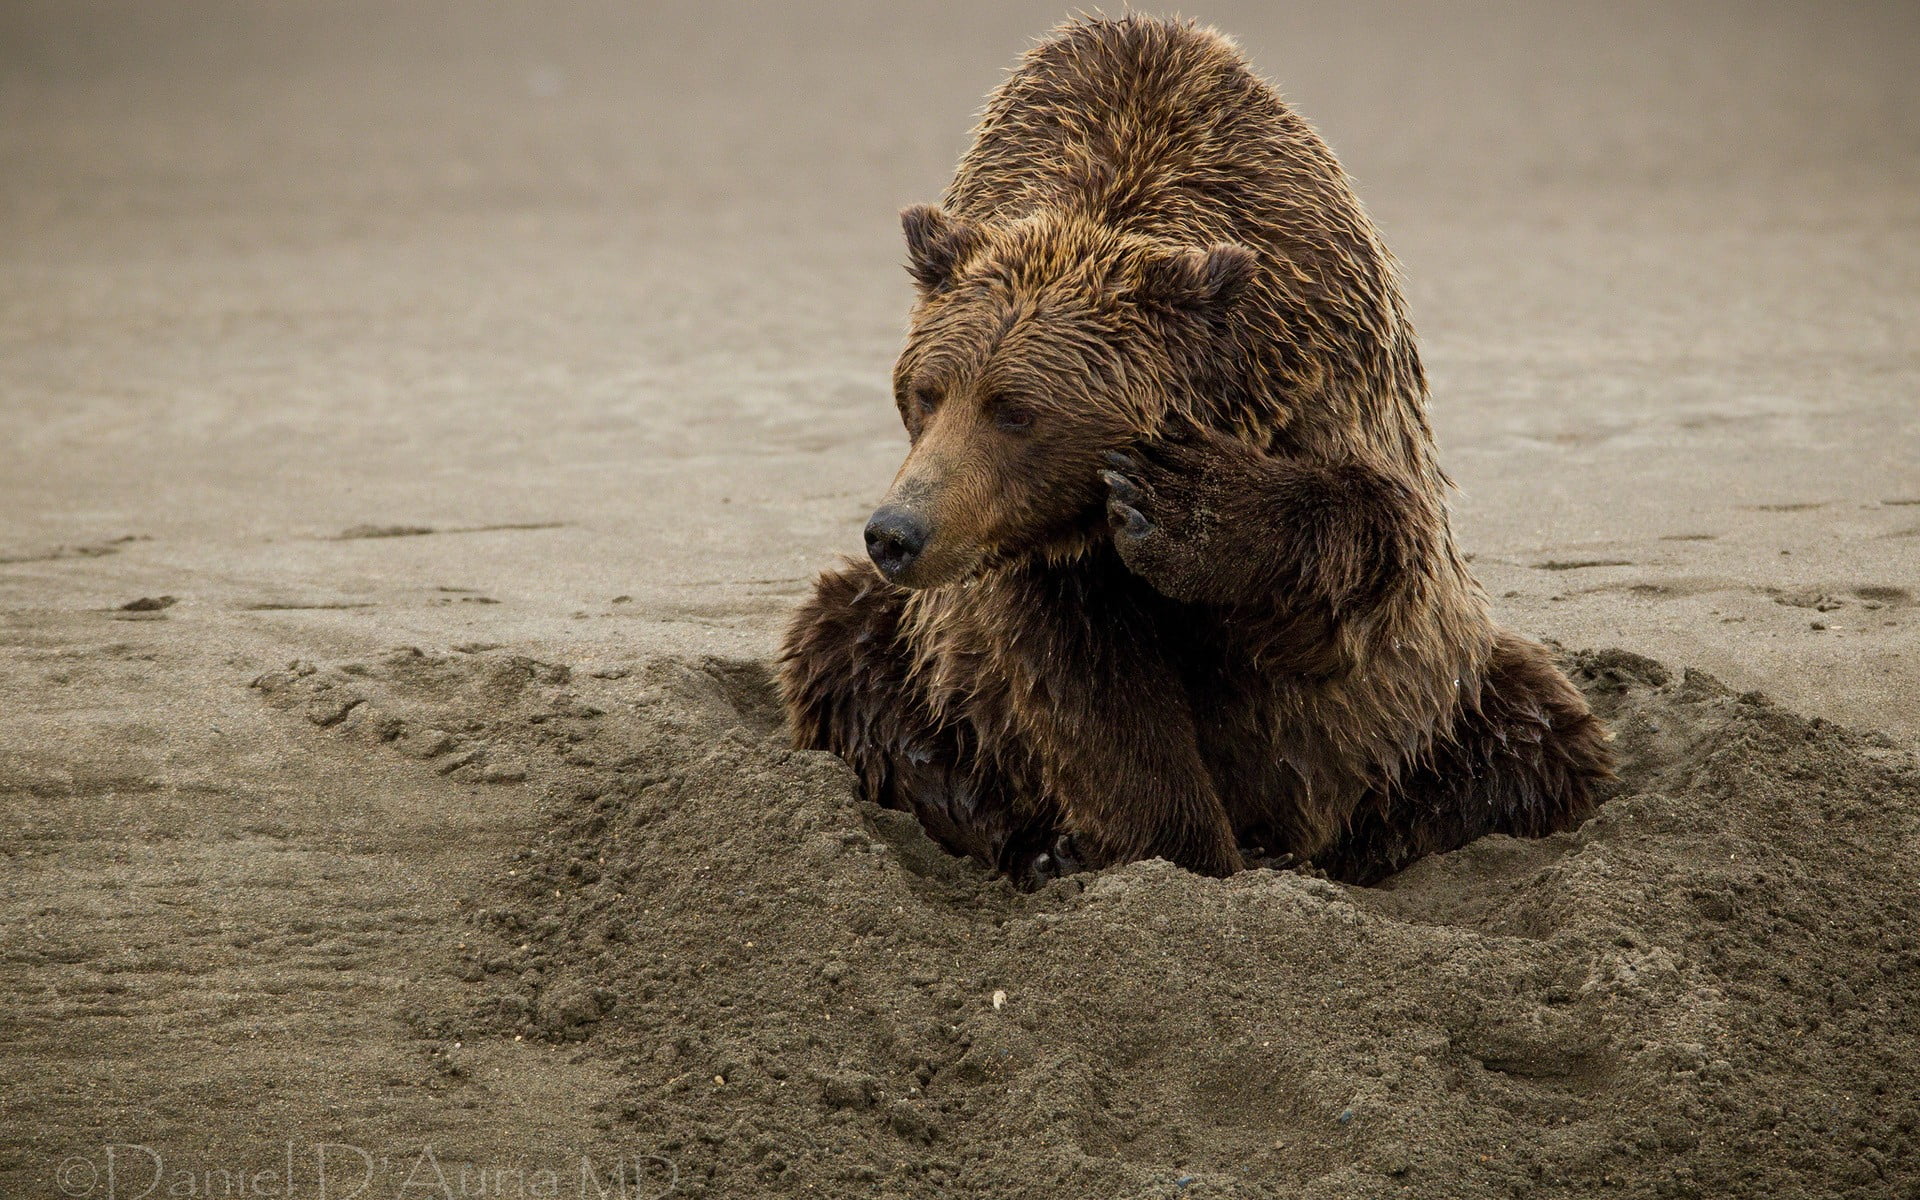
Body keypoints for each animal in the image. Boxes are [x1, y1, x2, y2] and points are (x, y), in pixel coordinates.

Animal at [775, 14, 1605, 883]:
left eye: (1015, 411)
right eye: (926, 392)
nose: (897, 532)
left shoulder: (1322, 363)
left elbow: (1367, 545)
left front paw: (1181, 507)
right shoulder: (1041, 559)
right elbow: (1088, 689)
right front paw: (1176, 848)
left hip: (1441, 702)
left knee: (1534, 739)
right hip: (917, 656)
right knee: (840, 647)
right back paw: (1035, 843)